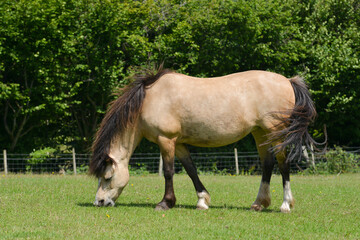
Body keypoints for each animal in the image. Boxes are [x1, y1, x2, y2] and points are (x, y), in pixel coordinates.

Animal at [90, 66, 318, 213]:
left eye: (108, 177)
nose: (99, 202)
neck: (150, 99)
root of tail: (288, 81)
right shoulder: (179, 143)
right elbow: (191, 169)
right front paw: (202, 201)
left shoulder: (167, 140)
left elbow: (169, 171)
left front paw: (165, 203)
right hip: (260, 132)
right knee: (268, 164)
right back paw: (259, 203)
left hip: (276, 132)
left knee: (283, 163)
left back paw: (285, 205)